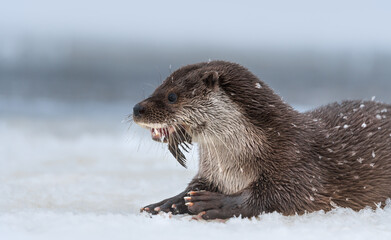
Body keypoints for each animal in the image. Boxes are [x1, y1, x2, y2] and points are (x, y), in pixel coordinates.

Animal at [132, 60, 391, 219]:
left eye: (172, 96)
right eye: (157, 88)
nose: (137, 108)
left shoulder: (297, 162)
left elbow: (282, 196)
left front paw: (215, 203)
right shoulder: (211, 172)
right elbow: (194, 185)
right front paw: (167, 203)